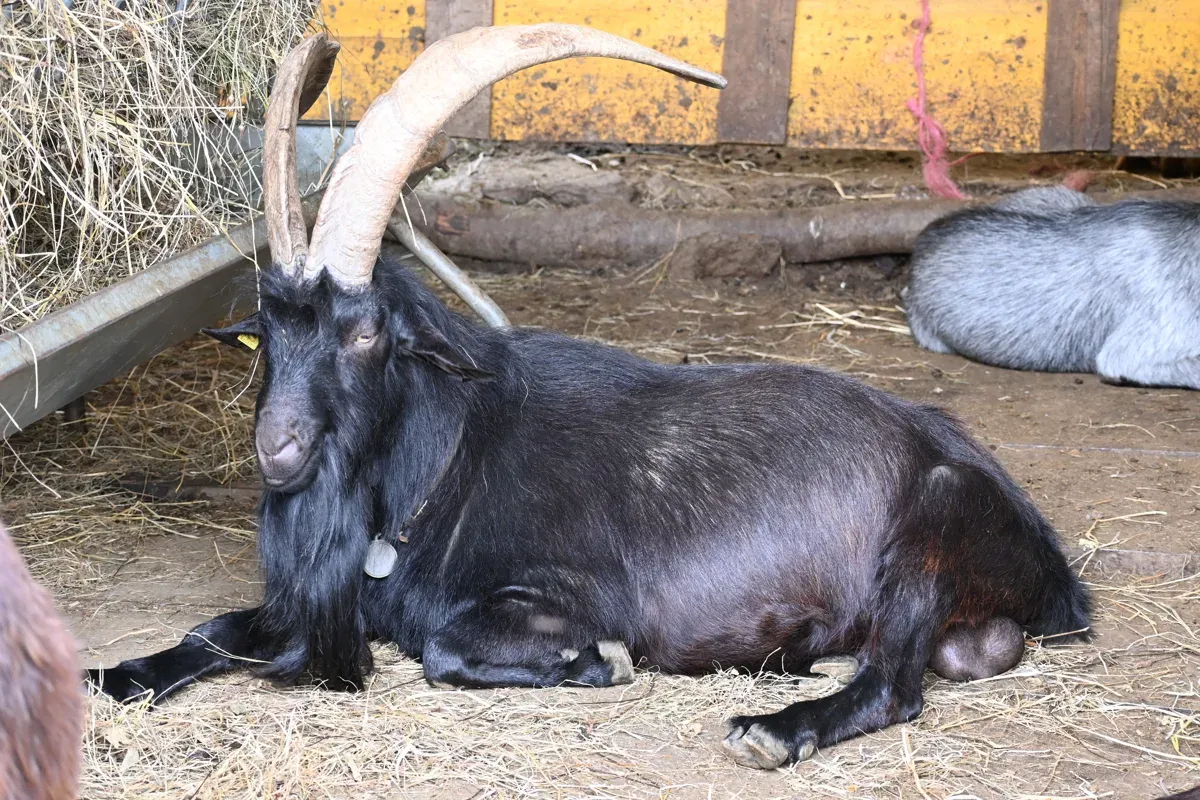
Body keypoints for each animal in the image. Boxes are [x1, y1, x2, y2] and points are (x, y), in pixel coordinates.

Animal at [87, 25, 1092, 769]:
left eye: (365, 330)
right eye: (268, 330)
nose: (279, 448)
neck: (443, 463)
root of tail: (1052, 564)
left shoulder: (570, 590)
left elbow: (448, 645)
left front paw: (592, 664)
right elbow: (214, 626)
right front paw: (110, 677)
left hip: (930, 534)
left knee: (897, 682)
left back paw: (771, 730)